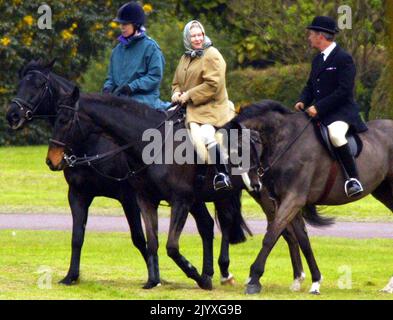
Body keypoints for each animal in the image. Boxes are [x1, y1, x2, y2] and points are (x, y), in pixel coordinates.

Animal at [45, 85, 334, 292]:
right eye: (54, 117)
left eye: (65, 119)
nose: (52, 160)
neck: (152, 144)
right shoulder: (144, 199)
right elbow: (152, 241)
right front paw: (154, 281)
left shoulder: (179, 200)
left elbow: (171, 246)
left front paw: (197, 277)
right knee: (277, 228)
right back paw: (292, 277)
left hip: (261, 193)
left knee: (281, 229)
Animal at [225, 100, 392, 296]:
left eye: (240, 149)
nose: (253, 184)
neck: (286, 141)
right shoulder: (286, 201)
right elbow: (303, 241)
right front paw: (315, 281)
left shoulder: (293, 199)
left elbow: (271, 235)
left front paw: (253, 279)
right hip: (384, 191)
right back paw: (389, 285)